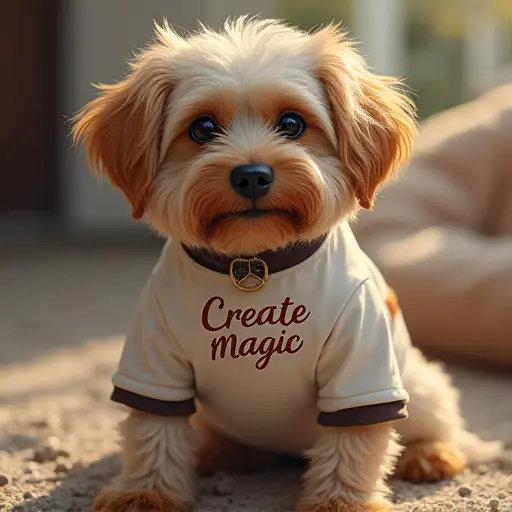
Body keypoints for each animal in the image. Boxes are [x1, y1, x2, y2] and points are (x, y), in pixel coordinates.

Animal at [72, 16, 500, 512]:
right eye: (202, 128)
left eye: (292, 123)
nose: (252, 174)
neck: (256, 263)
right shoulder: (154, 356)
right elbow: (153, 430)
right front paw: (145, 491)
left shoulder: (361, 365)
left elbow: (354, 440)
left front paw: (339, 502)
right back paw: (222, 450)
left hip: (419, 383)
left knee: (439, 426)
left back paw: (430, 455)